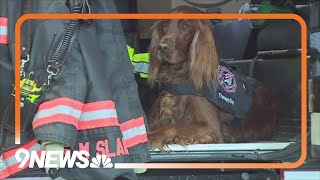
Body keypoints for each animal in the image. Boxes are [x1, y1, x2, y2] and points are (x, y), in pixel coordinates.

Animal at [147, 5, 280, 150]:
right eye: (165, 24)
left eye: (185, 26)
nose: (161, 47)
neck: (180, 72)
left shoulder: (211, 128)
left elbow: (173, 127)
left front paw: (150, 137)